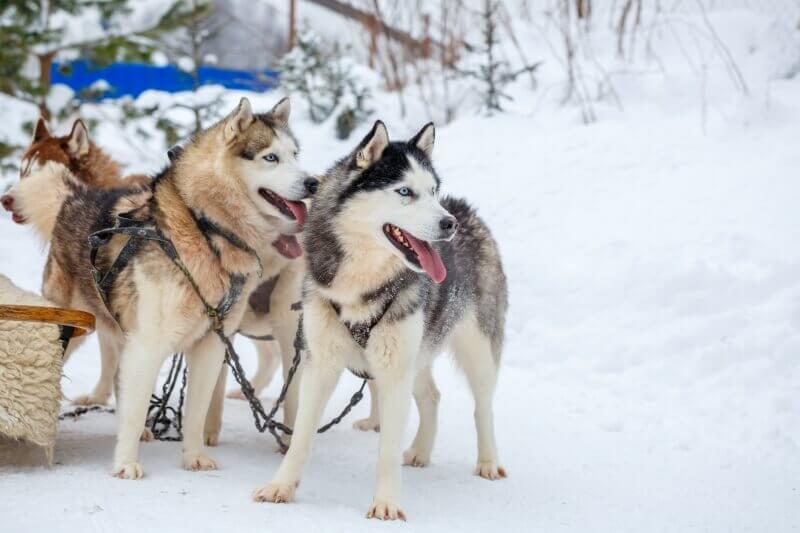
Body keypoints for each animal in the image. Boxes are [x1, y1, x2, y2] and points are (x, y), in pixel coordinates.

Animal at [7, 98, 312, 474]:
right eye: (271, 157)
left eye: (295, 154)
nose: (313, 183)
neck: (206, 229)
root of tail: (78, 195)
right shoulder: (147, 344)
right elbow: (136, 407)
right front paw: (125, 464)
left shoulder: (210, 345)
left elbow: (194, 412)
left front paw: (194, 456)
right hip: (74, 327)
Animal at [253, 120, 510, 520]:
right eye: (405, 191)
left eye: (432, 190)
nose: (448, 223)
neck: (361, 284)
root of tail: (465, 208)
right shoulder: (320, 365)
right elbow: (302, 437)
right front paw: (282, 486)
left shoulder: (392, 373)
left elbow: (386, 450)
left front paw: (386, 504)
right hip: (417, 354)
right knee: (431, 396)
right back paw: (420, 451)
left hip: (476, 351)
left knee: (483, 406)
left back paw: (488, 462)